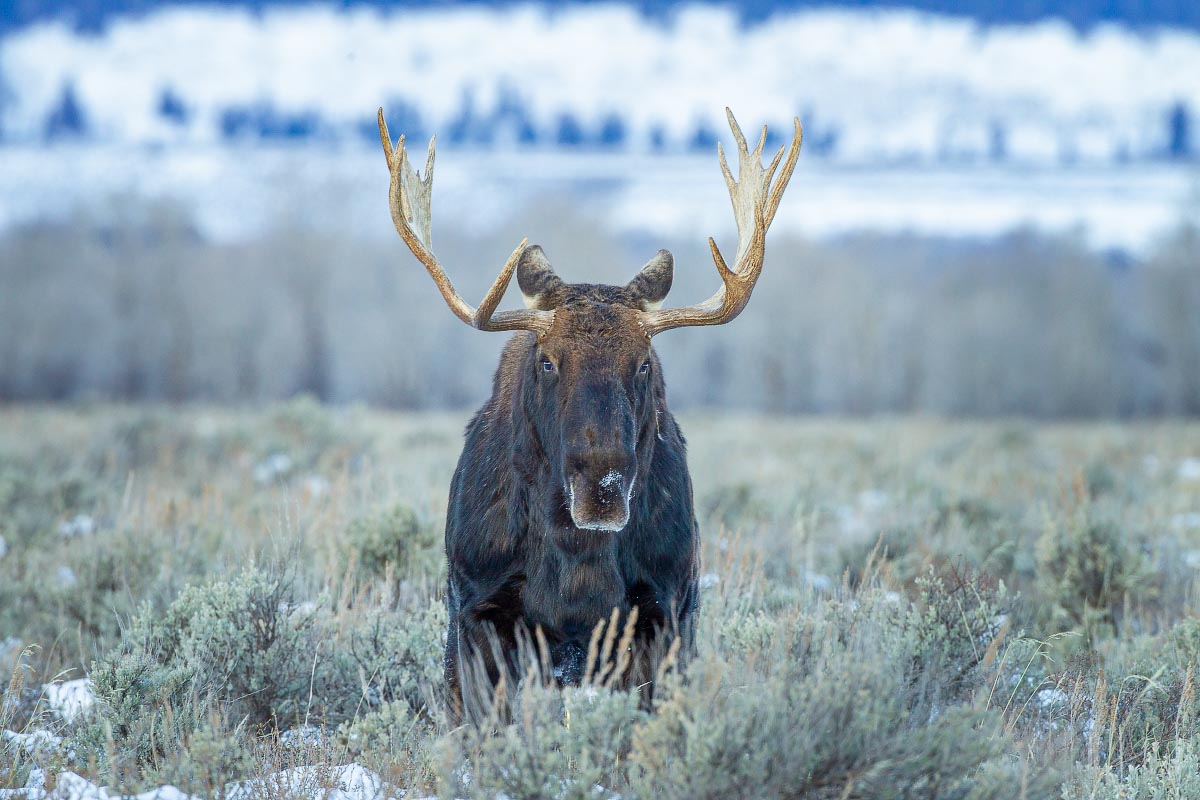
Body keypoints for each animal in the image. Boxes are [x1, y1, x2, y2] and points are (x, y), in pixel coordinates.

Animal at [379, 107, 801, 719]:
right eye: (547, 360)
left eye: (644, 363)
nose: (601, 488)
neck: (574, 560)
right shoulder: (479, 607)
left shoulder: (662, 610)